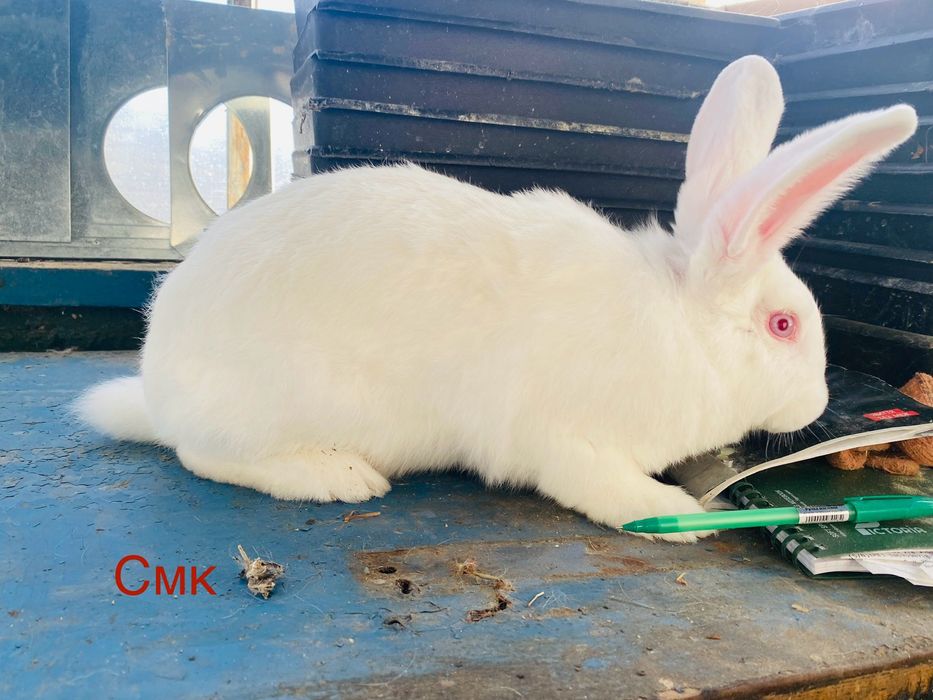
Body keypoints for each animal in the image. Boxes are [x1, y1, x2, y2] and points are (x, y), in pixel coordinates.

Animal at [75, 56, 917, 542]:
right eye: (781, 325)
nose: (816, 404)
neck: (676, 327)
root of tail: (157, 389)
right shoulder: (569, 441)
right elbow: (613, 492)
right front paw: (691, 520)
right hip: (257, 410)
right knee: (204, 457)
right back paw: (334, 476)